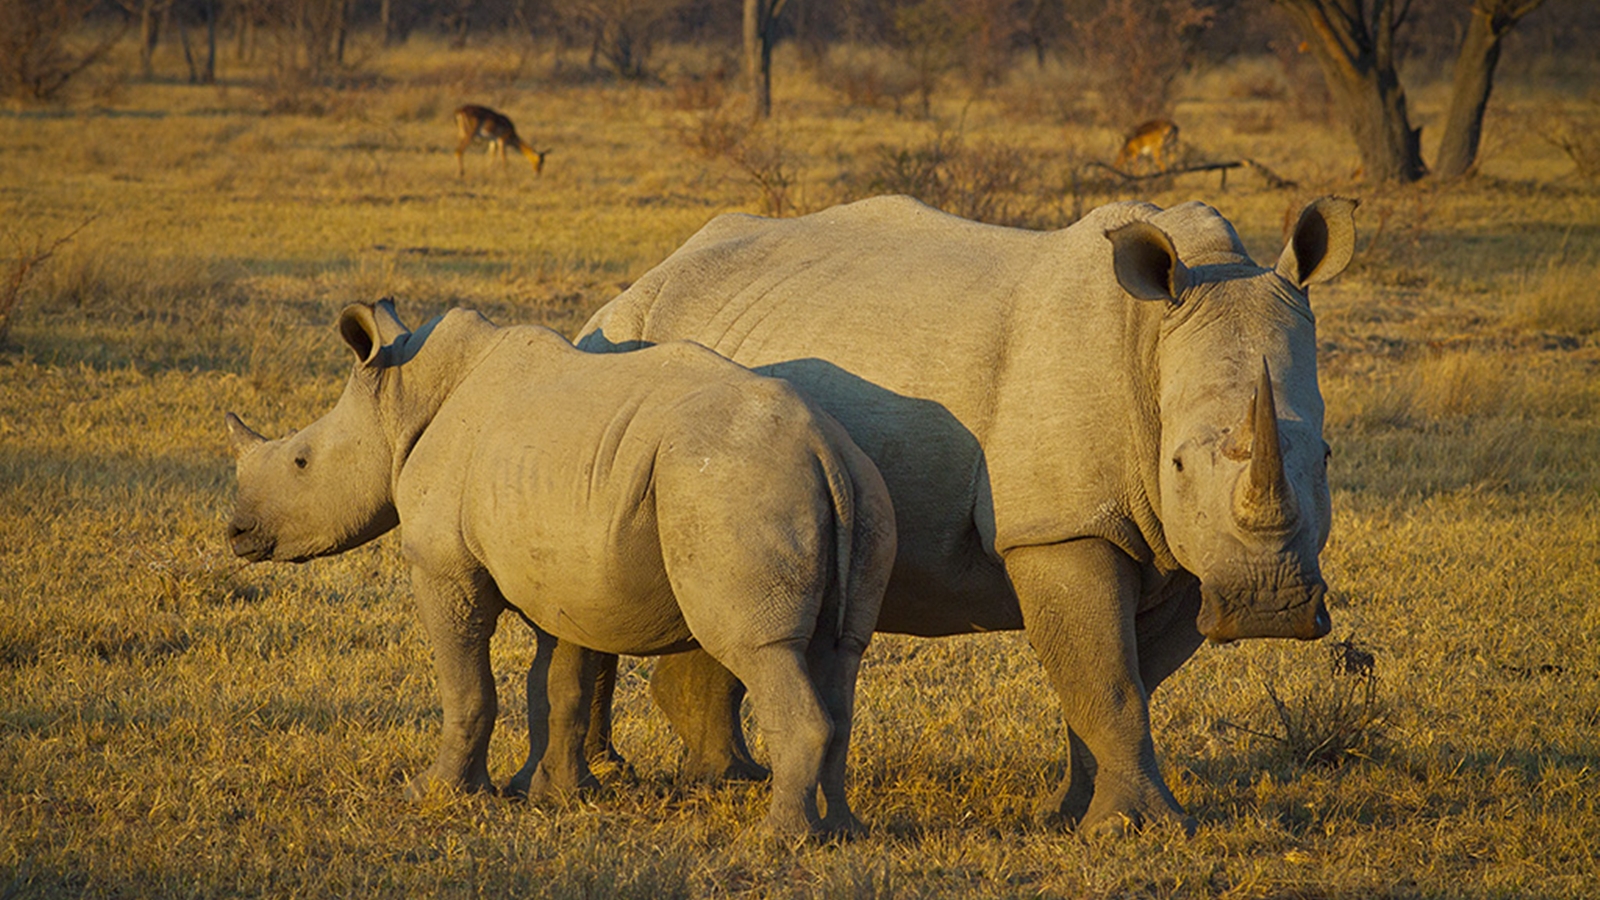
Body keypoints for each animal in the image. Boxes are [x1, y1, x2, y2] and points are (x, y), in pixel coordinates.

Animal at [223, 300, 895, 836]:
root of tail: (824, 449)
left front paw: (436, 793)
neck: (404, 398)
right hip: (859, 491)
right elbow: (559, 683)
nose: (235, 533)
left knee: (758, 647)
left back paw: (782, 837)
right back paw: (842, 831)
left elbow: (467, 683)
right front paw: (552, 795)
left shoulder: (443, 567)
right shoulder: (564, 564)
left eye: (302, 462)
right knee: (840, 652)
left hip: (731, 486)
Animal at [576, 195, 1356, 834]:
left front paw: (1072, 817)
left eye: (1324, 457)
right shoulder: (1060, 529)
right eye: (1180, 465)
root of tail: (646, 279)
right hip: (621, 349)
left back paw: (730, 780)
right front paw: (1136, 829)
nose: (1268, 607)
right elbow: (1109, 682)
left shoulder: (1192, 563)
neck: (1158, 328)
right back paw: (609, 781)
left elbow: (1118, 680)